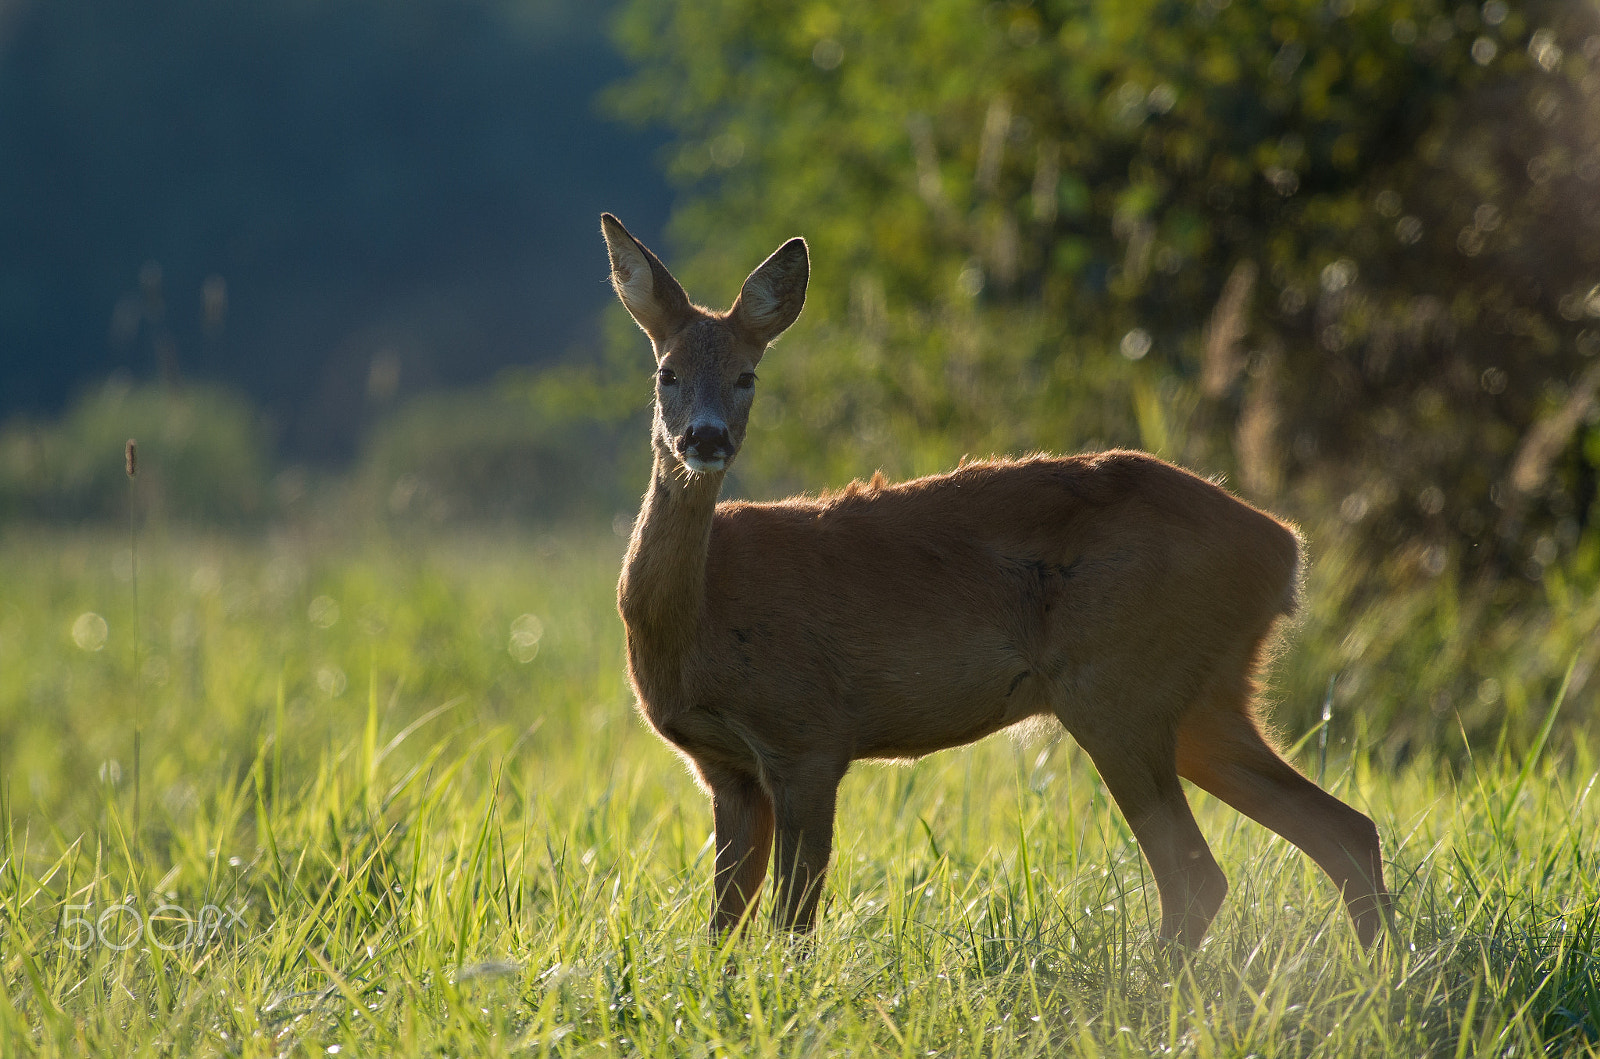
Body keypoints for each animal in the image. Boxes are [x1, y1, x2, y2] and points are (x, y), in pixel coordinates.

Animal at [598, 211, 1388, 947]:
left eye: (747, 375)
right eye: (666, 373)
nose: (705, 438)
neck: (697, 620)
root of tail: (1284, 548)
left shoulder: (807, 735)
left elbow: (791, 923)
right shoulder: (724, 766)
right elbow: (723, 929)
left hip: (1118, 684)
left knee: (1199, 874)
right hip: (1204, 697)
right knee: (1345, 829)